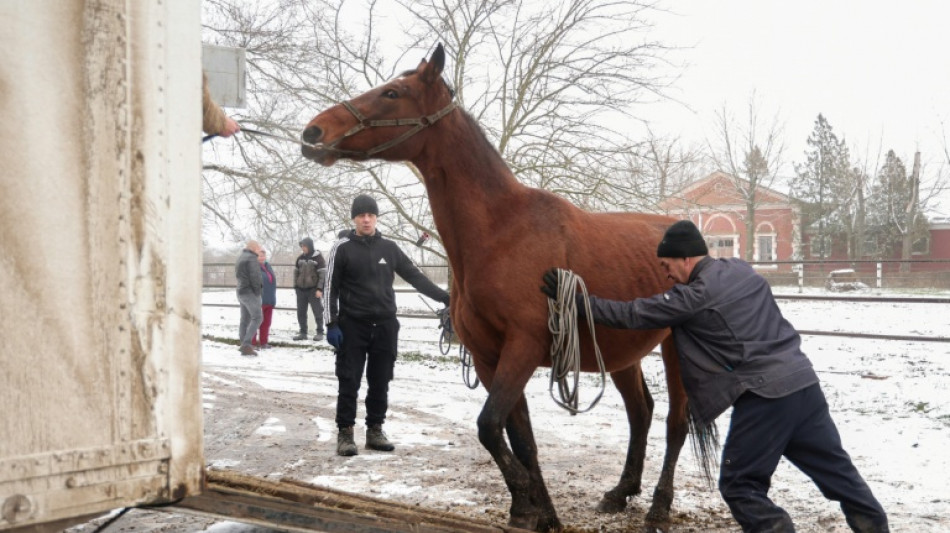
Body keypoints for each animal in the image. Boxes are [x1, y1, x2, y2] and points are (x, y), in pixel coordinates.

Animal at [301, 43, 700, 532]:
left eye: (392, 93)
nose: (314, 131)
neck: (500, 231)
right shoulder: (490, 358)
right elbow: (519, 437)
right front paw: (537, 512)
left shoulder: (522, 349)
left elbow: (489, 426)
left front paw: (527, 502)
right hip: (621, 353)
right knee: (641, 413)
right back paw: (620, 493)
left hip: (674, 350)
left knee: (676, 422)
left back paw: (659, 508)